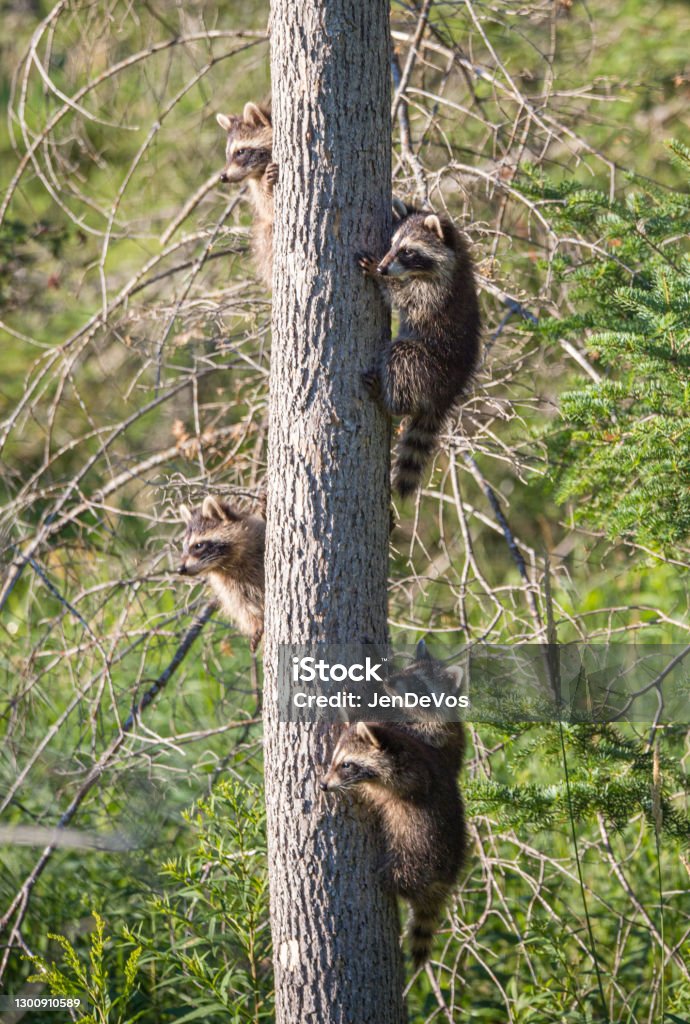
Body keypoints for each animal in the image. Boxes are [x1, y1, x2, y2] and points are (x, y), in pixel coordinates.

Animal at [176, 493, 264, 651]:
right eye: (184, 547)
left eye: (198, 545)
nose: (180, 569)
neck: (226, 564)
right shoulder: (229, 586)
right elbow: (242, 606)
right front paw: (256, 625)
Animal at [218, 101, 276, 288]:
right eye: (227, 154)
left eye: (240, 152)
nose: (223, 177)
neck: (260, 169)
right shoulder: (255, 184)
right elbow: (267, 208)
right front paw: (267, 185)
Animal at [321, 716, 464, 962]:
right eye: (334, 762)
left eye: (346, 765)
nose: (323, 785)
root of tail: (445, 881)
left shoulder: (413, 776)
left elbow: (390, 790)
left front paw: (363, 789)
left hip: (418, 854)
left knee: (403, 875)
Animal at [354, 201, 479, 497]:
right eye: (392, 245)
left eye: (407, 251)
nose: (384, 269)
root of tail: (448, 393)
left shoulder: (435, 293)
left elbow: (404, 298)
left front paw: (380, 278)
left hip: (428, 364)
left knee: (402, 355)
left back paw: (388, 401)